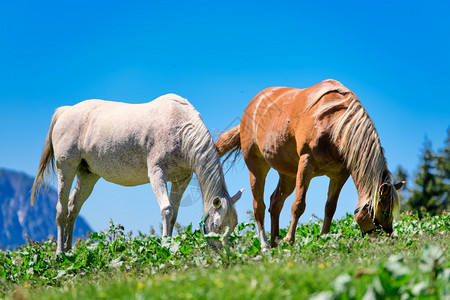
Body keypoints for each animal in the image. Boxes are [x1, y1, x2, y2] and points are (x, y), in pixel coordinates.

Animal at [30, 94, 243, 253]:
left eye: (233, 225)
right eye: (217, 226)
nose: (226, 252)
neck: (179, 126)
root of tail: (66, 110)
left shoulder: (182, 179)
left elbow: (173, 215)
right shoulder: (157, 174)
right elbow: (166, 210)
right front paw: (165, 245)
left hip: (88, 175)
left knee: (73, 207)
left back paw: (69, 251)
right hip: (65, 168)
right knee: (61, 209)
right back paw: (59, 253)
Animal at [216, 79, 406, 248]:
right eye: (385, 211)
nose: (388, 238)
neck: (334, 124)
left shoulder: (339, 175)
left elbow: (330, 208)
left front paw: (323, 238)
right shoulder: (305, 165)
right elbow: (298, 205)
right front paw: (289, 240)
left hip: (288, 175)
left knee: (275, 202)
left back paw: (275, 243)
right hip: (257, 167)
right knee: (259, 206)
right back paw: (264, 245)